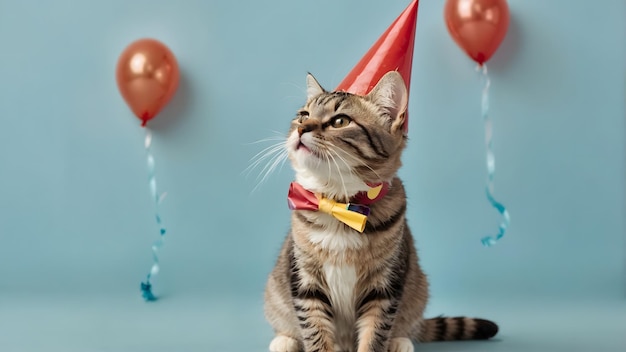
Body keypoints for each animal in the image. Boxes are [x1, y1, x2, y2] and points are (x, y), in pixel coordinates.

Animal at [264, 71, 498, 352]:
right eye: (303, 115)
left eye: (340, 121)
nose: (301, 128)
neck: (339, 204)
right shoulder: (305, 282)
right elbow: (314, 330)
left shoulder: (384, 287)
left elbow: (375, 333)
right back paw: (284, 340)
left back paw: (400, 341)